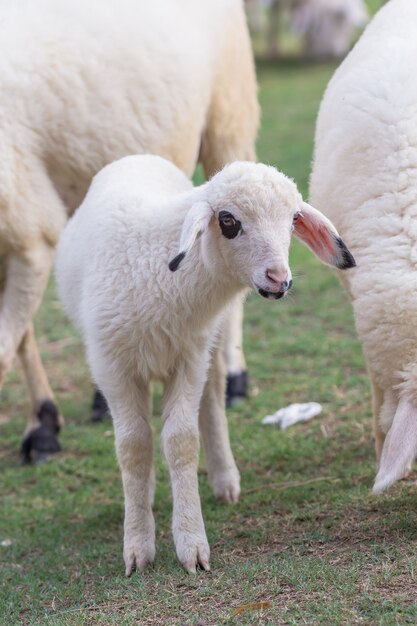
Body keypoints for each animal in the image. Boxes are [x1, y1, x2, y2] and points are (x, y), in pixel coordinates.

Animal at [0, 0, 260, 458]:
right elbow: (21, 338)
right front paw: (44, 422)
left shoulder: (28, 225)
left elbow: (3, 350)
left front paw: (41, 428)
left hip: (229, 117)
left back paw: (235, 377)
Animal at [54, 152, 354, 572]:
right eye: (228, 221)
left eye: (294, 218)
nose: (279, 278)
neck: (162, 276)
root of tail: (140, 156)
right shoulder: (111, 365)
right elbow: (133, 446)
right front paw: (137, 545)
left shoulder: (189, 358)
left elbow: (181, 441)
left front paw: (191, 545)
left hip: (209, 344)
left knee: (212, 398)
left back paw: (224, 480)